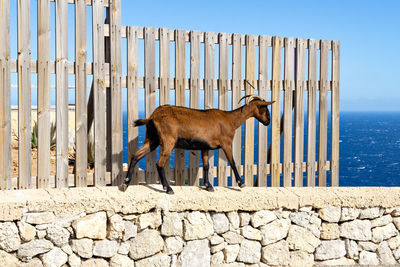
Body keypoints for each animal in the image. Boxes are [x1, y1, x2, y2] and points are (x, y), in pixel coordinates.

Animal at [120, 96, 274, 195]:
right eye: (265, 108)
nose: (268, 122)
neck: (231, 119)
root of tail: (152, 117)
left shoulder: (204, 147)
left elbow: (206, 166)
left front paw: (208, 185)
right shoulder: (226, 143)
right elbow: (233, 162)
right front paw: (241, 183)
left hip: (152, 139)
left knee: (135, 156)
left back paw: (125, 184)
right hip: (168, 140)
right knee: (160, 163)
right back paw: (168, 188)